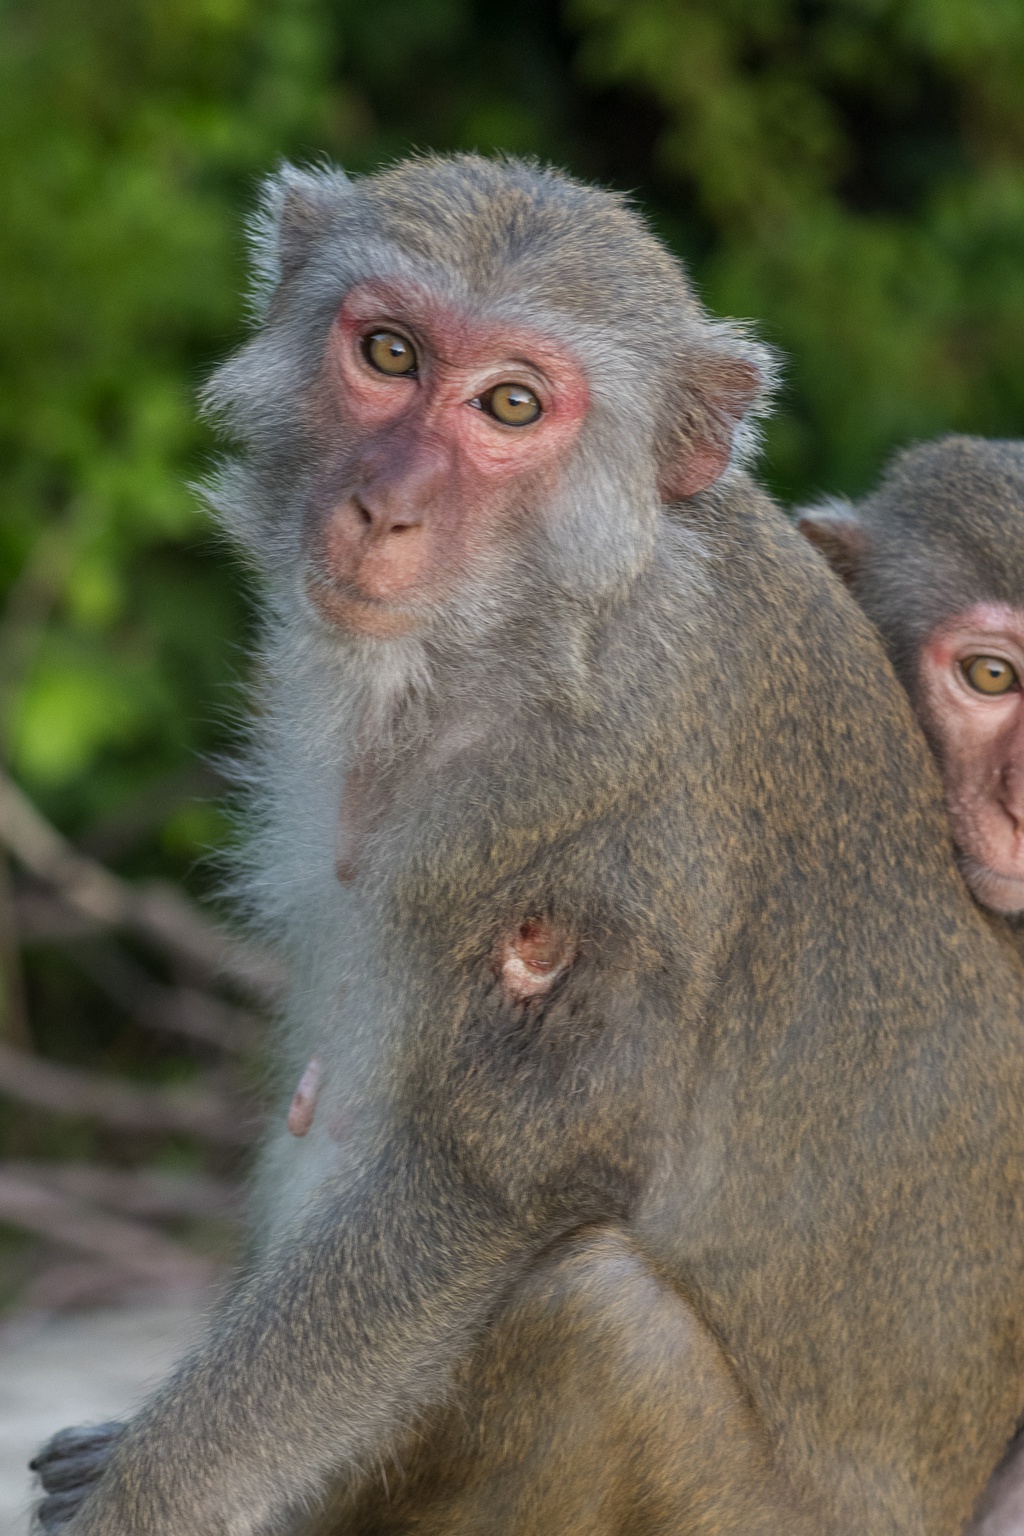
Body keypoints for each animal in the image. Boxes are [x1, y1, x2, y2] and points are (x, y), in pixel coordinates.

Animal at [30, 155, 1024, 1536]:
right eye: (388, 353)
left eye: (511, 404)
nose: (382, 507)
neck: (545, 620)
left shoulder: (608, 801)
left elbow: (496, 1175)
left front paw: (148, 1495)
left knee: (591, 1320)